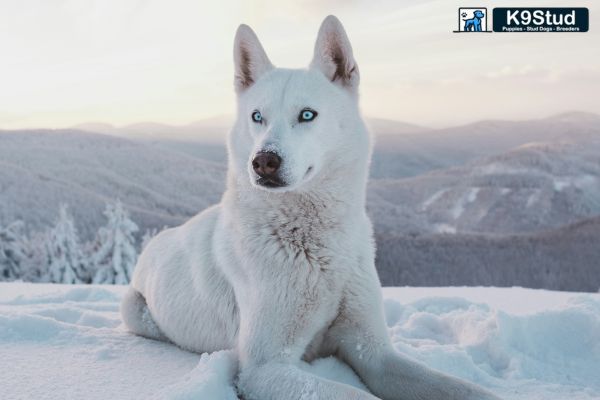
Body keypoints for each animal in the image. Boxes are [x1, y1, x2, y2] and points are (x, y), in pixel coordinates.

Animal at [120, 14, 496, 400]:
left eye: (306, 114)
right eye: (257, 116)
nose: (263, 161)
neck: (315, 244)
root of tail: (160, 238)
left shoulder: (374, 352)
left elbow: (460, 388)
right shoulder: (265, 368)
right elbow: (355, 395)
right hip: (135, 311)